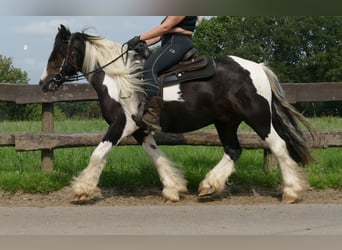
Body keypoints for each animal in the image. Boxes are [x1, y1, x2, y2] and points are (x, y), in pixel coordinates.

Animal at [39, 24, 312, 203]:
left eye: (56, 53)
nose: (44, 83)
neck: (117, 79)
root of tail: (258, 68)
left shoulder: (121, 124)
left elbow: (98, 154)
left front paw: (82, 189)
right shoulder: (140, 129)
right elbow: (156, 157)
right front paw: (173, 188)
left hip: (257, 117)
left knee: (278, 146)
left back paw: (291, 191)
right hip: (226, 122)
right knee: (233, 150)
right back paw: (209, 186)